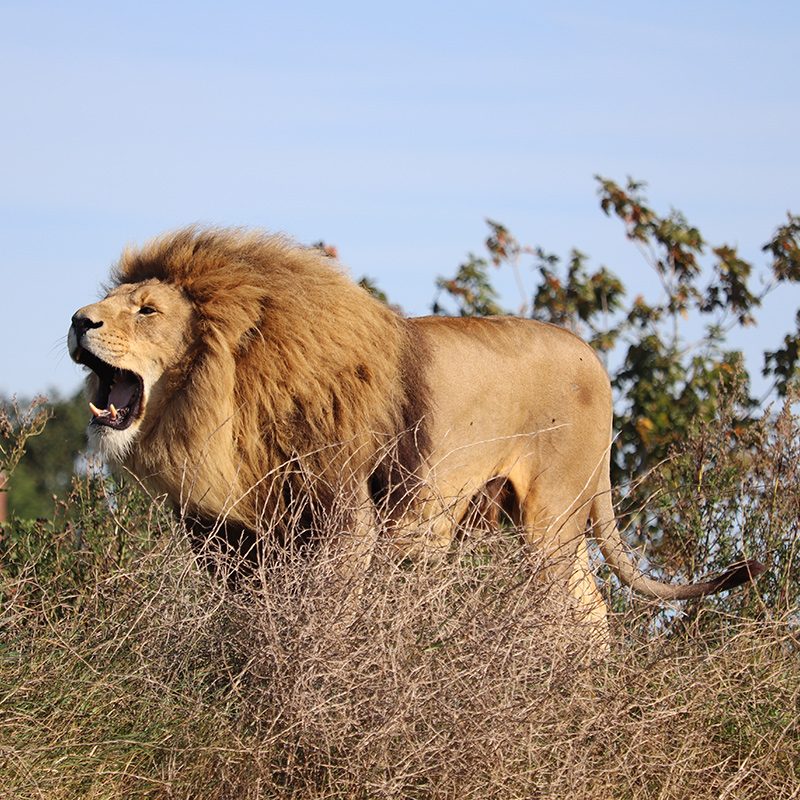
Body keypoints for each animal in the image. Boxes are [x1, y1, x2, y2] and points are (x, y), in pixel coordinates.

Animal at [69, 225, 764, 644]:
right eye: (114, 300)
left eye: (147, 310)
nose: (78, 320)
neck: (224, 399)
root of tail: (594, 358)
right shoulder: (225, 536)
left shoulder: (345, 518)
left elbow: (332, 608)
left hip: (551, 521)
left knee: (585, 616)